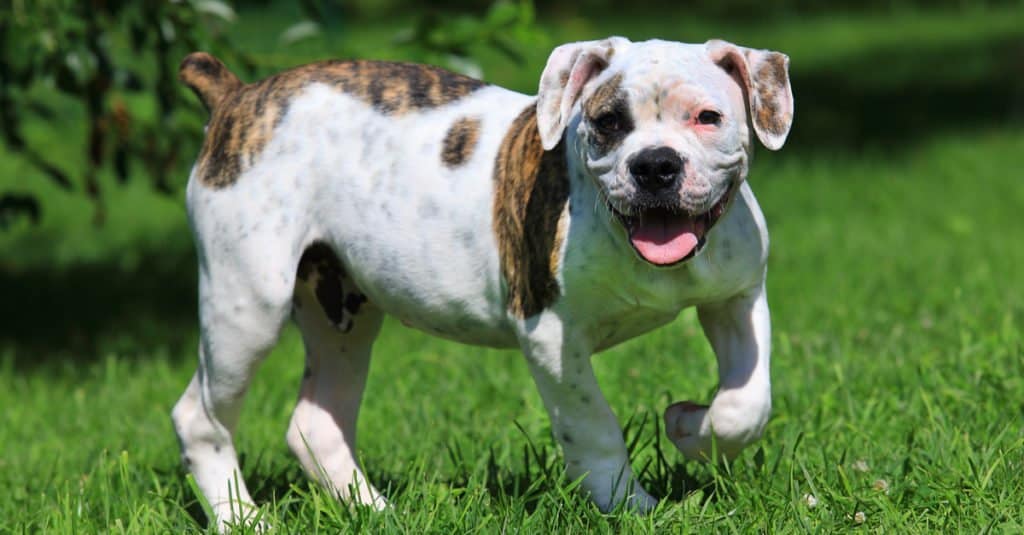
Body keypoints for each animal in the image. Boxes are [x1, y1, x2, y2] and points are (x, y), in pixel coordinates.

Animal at [172, 36, 794, 524]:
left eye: (707, 118)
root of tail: (239, 95)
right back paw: (243, 519)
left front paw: (691, 426)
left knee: (315, 421)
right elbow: (592, 423)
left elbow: (747, 403)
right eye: (609, 122)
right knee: (200, 418)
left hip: (340, 312)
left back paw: (374, 510)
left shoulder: (739, 298)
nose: (656, 165)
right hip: (247, 305)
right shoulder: (551, 336)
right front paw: (628, 504)